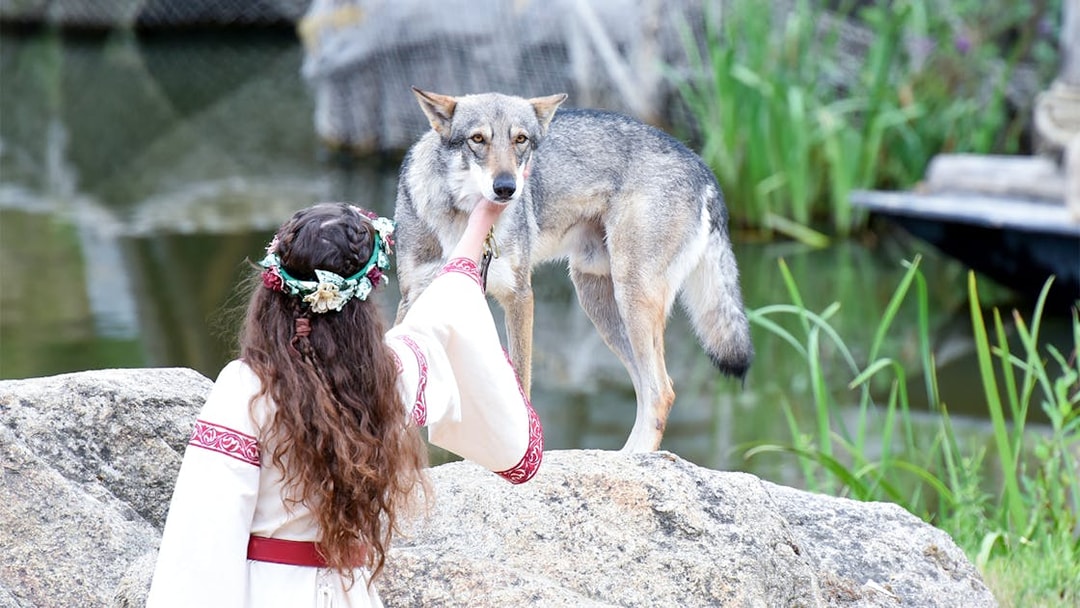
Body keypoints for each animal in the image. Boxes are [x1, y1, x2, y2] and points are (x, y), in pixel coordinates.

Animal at [393, 87, 753, 452]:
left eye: (520, 140)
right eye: (477, 139)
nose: (507, 188)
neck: (467, 225)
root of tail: (702, 167)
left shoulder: (519, 296)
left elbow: (521, 382)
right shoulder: (416, 301)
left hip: (631, 300)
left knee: (661, 391)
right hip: (600, 303)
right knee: (650, 390)